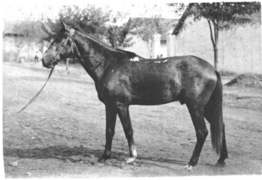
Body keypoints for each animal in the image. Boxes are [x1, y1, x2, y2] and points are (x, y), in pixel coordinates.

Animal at [42, 21, 227, 169]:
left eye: (59, 40)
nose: (45, 60)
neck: (109, 64)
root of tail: (212, 69)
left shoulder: (121, 105)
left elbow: (128, 130)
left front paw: (131, 158)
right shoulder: (110, 106)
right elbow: (109, 130)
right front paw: (104, 157)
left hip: (195, 107)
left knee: (202, 132)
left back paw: (191, 163)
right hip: (206, 107)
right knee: (220, 125)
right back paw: (221, 160)